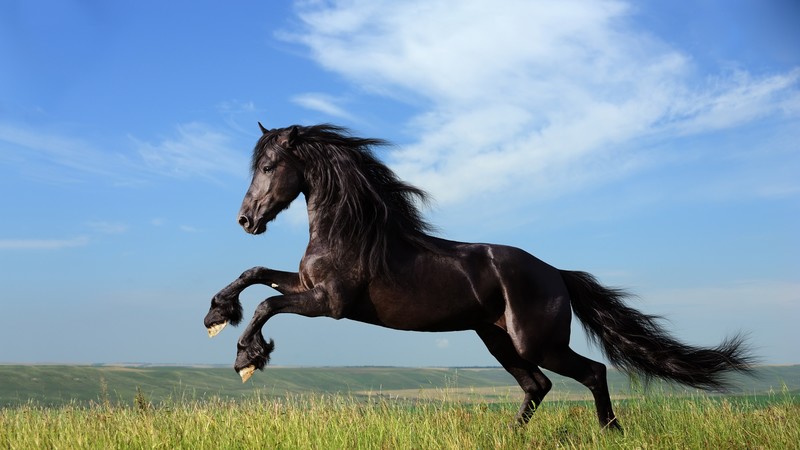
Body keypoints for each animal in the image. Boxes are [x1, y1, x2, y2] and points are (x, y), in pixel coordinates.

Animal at [204, 123, 753, 430]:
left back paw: (611, 432)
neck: (351, 232)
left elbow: (267, 303)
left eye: (269, 166)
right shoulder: (307, 287)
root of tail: (557, 274)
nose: (246, 220)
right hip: (497, 339)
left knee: (590, 373)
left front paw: (247, 357)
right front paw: (216, 315)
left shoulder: (330, 303)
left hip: (536, 342)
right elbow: (255, 273)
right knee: (537, 386)